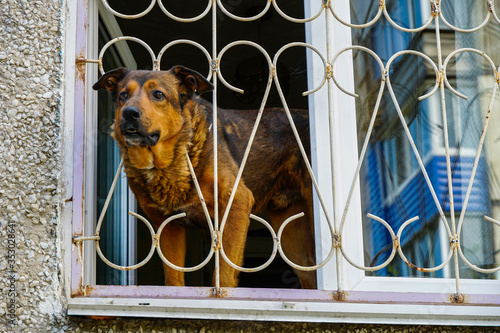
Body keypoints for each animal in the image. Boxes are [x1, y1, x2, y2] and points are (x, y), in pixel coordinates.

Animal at [94, 65, 316, 288]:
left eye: (158, 94)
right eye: (123, 95)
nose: (129, 113)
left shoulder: (236, 204)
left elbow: (224, 275)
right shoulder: (167, 226)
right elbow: (173, 279)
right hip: (292, 238)